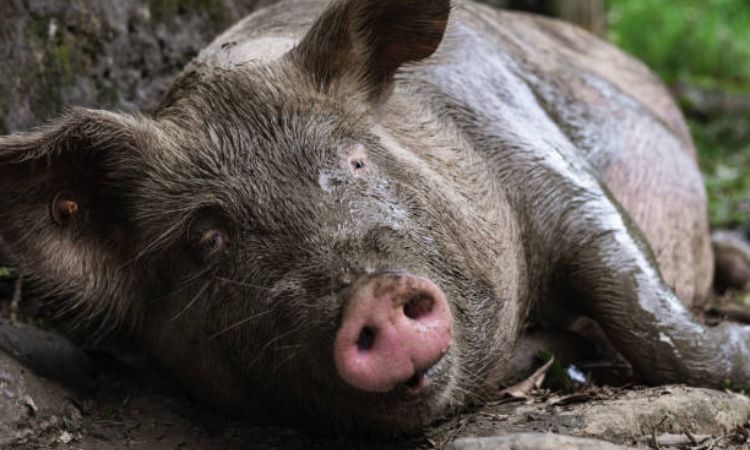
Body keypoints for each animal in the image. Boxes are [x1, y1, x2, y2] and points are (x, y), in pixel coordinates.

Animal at [1, 0, 750, 434]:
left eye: (356, 159)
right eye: (208, 237)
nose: (373, 294)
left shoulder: (538, 151)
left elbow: (637, 299)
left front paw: (738, 346)